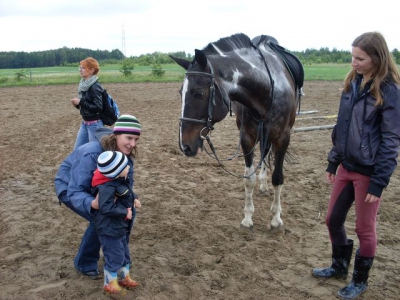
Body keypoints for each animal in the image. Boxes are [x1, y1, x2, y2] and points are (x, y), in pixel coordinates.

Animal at [169, 32, 304, 229]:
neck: (267, 89)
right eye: (180, 93)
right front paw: (247, 217)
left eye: (198, 93)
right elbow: (249, 179)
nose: (184, 145)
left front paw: (276, 218)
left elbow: (278, 178)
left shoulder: (283, 139)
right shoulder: (247, 137)